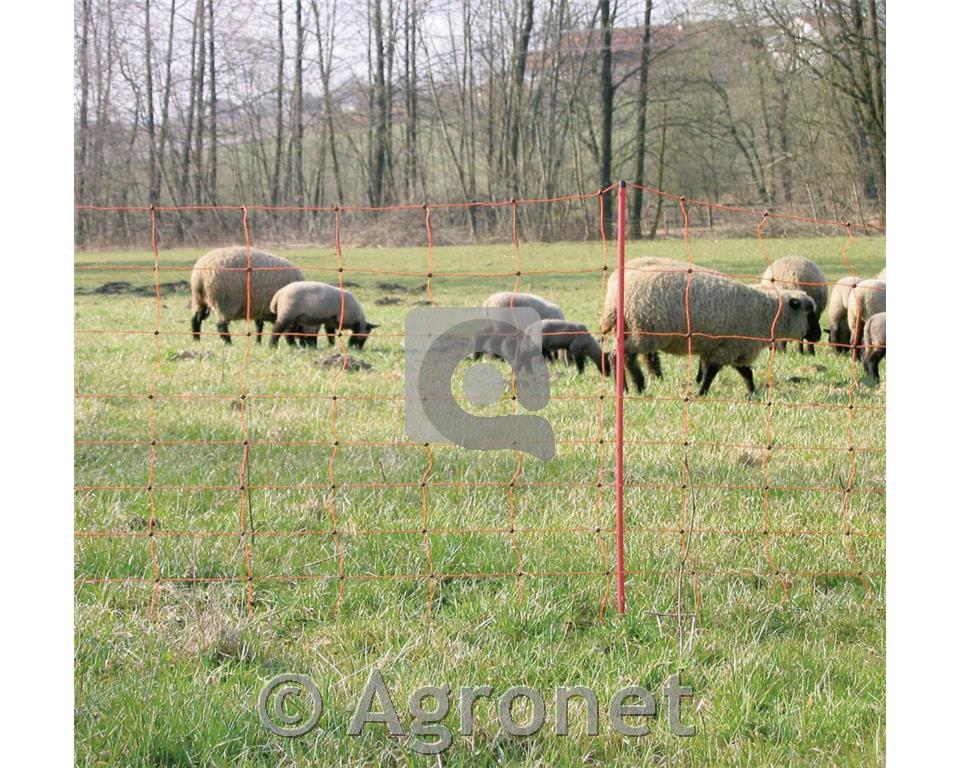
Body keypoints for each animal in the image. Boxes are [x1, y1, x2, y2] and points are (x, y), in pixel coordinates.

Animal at [600, 258, 816, 396]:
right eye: (809, 311)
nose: (818, 336)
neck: (768, 313)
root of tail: (614, 302)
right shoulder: (732, 347)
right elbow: (713, 371)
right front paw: (702, 392)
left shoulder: (732, 349)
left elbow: (745, 372)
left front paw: (752, 391)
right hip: (644, 331)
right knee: (620, 355)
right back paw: (629, 387)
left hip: (633, 330)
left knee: (626, 357)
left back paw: (636, 386)